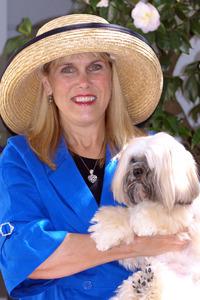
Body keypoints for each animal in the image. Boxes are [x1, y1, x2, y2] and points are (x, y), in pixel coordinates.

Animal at [88, 133, 200, 300]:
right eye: (133, 160)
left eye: (151, 162)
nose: (137, 171)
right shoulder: (138, 255)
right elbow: (123, 216)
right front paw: (104, 234)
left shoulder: (184, 217)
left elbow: (159, 212)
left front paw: (141, 221)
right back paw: (143, 285)